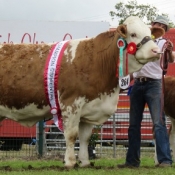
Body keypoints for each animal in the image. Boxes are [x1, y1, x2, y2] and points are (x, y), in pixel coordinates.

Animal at [0, 16, 164, 168]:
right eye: (134, 34)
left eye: (150, 34)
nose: (156, 51)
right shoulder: (71, 103)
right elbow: (71, 135)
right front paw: (70, 162)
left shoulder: (89, 108)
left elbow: (85, 137)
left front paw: (84, 162)